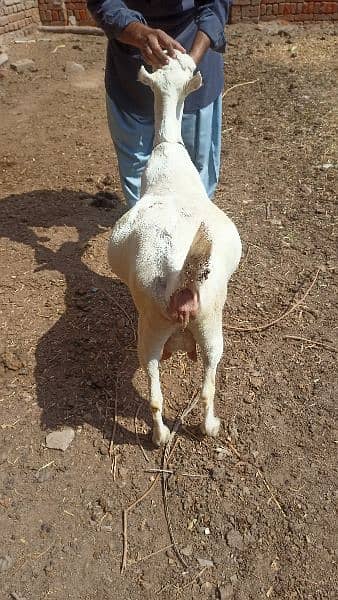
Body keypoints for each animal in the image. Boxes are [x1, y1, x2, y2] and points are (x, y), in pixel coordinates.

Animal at [107, 52, 242, 446]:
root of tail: (182, 283)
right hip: (200, 321)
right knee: (204, 383)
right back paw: (200, 429)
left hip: (171, 327)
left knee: (162, 392)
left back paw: (165, 435)